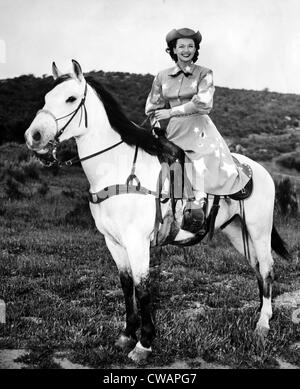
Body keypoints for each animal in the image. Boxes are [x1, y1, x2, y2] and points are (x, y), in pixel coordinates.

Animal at [24, 59, 290, 362]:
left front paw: (144, 343)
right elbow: (126, 285)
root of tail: (258, 170)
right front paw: (126, 334)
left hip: (259, 230)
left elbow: (143, 289)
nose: (33, 136)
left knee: (267, 268)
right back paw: (260, 312)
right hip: (236, 231)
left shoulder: (137, 242)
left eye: (70, 98)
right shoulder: (113, 242)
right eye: (46, 97)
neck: (119, 168)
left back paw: (263, 323)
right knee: (256, 267)